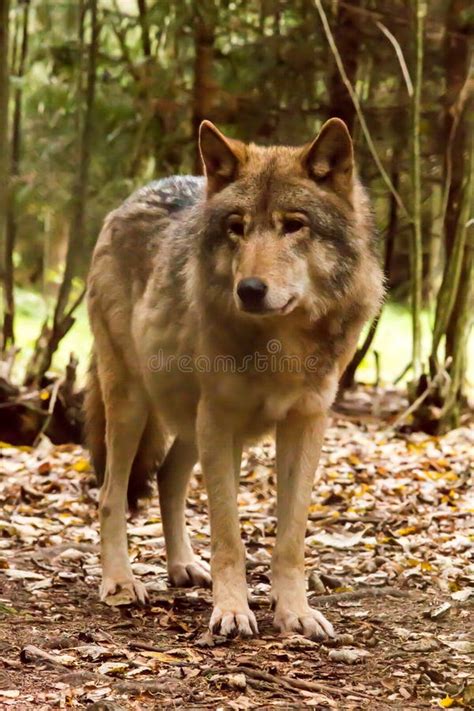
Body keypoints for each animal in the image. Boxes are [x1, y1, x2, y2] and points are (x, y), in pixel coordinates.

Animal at [84, 119, 382, 644]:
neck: (282, 345)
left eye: (293, 224)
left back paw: (182, 566)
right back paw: (120, 581)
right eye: (237, 228)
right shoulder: (220, 422)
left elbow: (290, 539)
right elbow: (229, 535)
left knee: (167, 477)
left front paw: (296, 613)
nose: (250, 290)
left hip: (189, 420)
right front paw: (232, 611)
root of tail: (129, 200)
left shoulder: (305, 424)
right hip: (133, 406)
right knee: (110, 494)